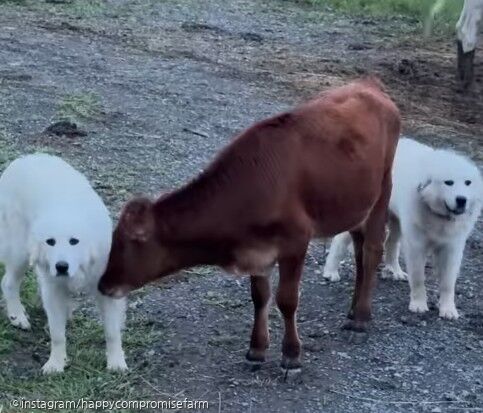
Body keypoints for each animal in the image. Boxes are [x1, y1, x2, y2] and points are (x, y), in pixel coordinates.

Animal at [0, 154, 129, 374]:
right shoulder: (53, 289)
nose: (61, 267)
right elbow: (57, 334)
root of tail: (24, 158)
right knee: (8, 282)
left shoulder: (107, 289)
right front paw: (56, 363)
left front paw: (116, 363)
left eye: (74, 241)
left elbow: (112, 332)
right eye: (50, 241)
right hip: (20, 252)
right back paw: (17, 316)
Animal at [98, 78, 400, 370]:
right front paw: (257, 349)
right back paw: (353, 309)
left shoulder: (296, 241)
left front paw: (291, 355)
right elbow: (260, 296)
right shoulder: (256, 248)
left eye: (132, 242)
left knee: (372, 250)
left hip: (383, 189)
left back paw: (361, 317)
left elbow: (287, 299)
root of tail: (369, 85)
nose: (103, 285)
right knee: (360, 251)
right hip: (355, 203)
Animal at [324, 138, 482, 318]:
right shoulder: (416, 246)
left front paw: (448, 309)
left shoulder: (451, 248)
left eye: (468, 183)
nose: (462, 199)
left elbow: (448, 283)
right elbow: (418, 278)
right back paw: (330, 271)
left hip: (396, 221)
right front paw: (419, 304)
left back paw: (395, 270)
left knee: (391, 243)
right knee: (339, 240)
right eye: (449, 182)